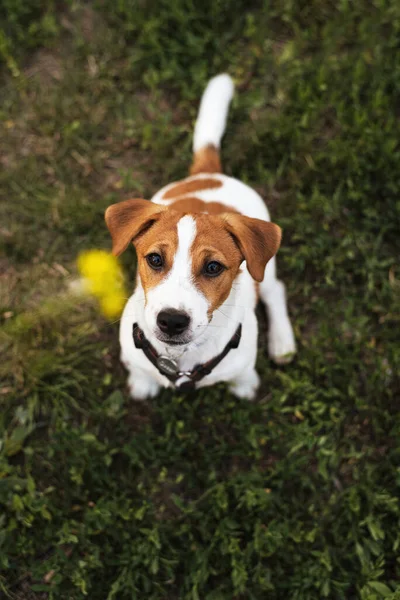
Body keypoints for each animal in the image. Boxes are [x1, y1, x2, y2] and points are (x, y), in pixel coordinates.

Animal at [104, 76, 296, 404]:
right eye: (155, 259)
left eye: (213, 267)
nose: (171, 321)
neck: (180, 359)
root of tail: (208, 173)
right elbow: (140, 370)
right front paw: (142, 384)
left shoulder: (241, 359)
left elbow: (243, 373)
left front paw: (245, 386)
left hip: (265, 269)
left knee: (275, 290)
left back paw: (282, 341)